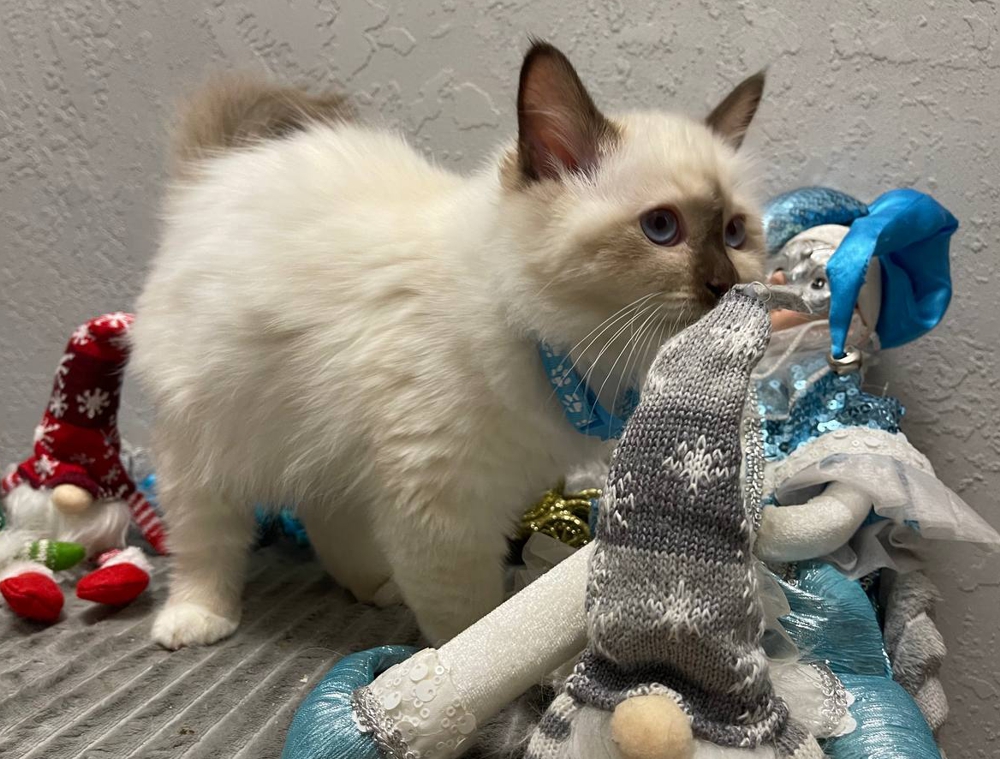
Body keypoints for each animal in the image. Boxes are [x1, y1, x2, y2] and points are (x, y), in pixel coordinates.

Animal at [131, 40, 766, 649]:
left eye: (735, 234)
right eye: (661, 228)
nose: (723, 284)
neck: (551, 344)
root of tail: (213, 172)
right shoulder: (440, 511)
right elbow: (472, 622)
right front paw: (484, 671)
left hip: (323, 443)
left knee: (324, 513)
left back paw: (375, 588)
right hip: (211, 442)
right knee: (204, 538)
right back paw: (194, 620)